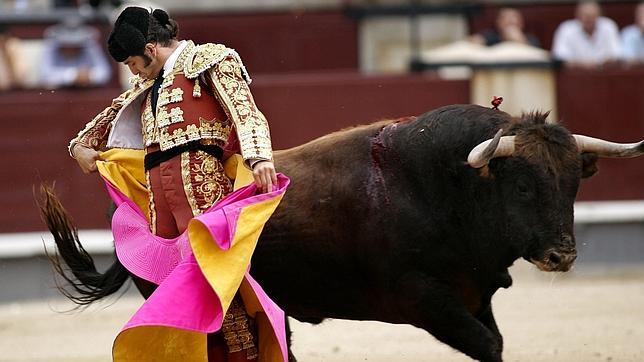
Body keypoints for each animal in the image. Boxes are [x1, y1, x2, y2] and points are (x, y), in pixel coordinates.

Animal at [40, 103, 644, 360]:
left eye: (573, 185)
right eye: (521, 187)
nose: (562, 256)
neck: (449, 186)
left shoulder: (474, 296)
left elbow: (494, 344)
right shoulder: (423, 299)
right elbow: (488, 345)